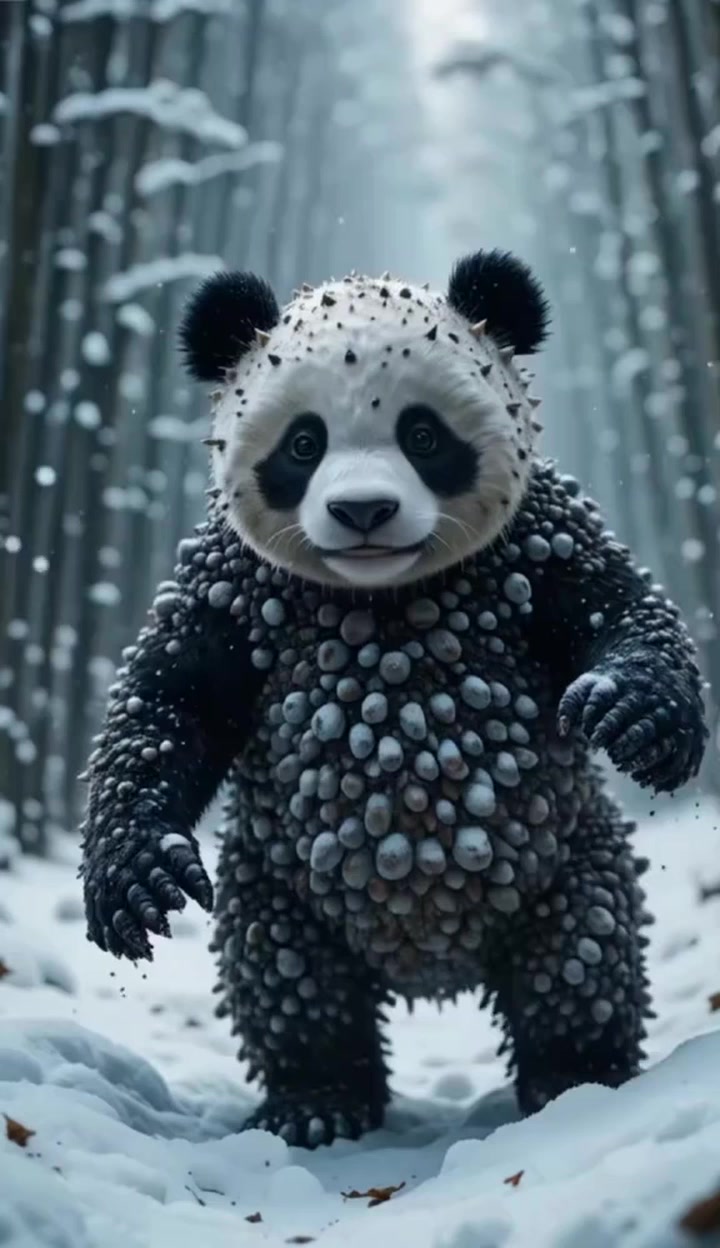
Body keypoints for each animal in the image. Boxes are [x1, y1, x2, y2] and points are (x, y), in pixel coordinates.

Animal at [80, 249, 708, 1149]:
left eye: (423, 435)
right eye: (304, 444)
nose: (363, 510)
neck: (382, 597)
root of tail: (432, 968)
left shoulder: (534, 545)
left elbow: (620, 609)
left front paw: (630, 716)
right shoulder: (237, 586)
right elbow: (168, 704)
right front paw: (137, 882)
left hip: (563, 857)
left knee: (583, 953)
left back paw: (575, 1079)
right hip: (278, 879)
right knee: (287, 976)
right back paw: (316, 1104)